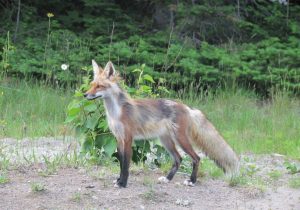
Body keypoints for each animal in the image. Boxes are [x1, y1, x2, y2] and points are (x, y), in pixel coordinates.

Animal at [84, 60, 239, 188]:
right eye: (92, 85)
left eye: (99, 86)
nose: (85, 95)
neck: (116, 113)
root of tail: (187, 107)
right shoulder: (118, 138)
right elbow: (121, 163)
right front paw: (119, 180)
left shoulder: (128, 138)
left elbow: (126, 164)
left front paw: (123, 183)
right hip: (166, 141)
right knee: (178, 159)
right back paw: (168, 179)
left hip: (180, 139)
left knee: (196, 158)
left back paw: (192, 181)